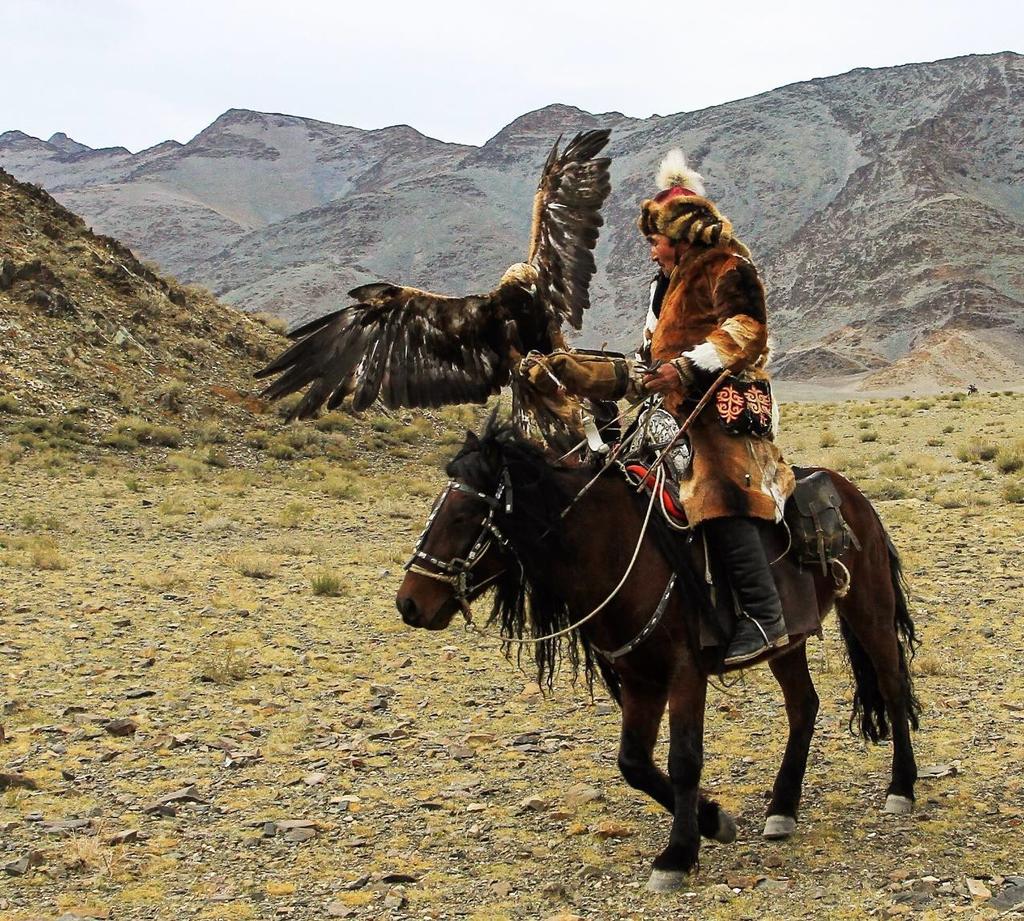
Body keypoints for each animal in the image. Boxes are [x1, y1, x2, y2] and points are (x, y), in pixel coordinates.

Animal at [395, 420, 925, 893]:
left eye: (463, 515)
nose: (409, 603)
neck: (616, 549)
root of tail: (851, 494)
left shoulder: (685, 672)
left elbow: (684, 758)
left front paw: (677, 855)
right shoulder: (640, 677)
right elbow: (633, 762)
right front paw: (713, 820)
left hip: (869, 607)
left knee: (892, 685)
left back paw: (900, 788)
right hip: (788, 641)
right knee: (803, 706)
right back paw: (782, 809)